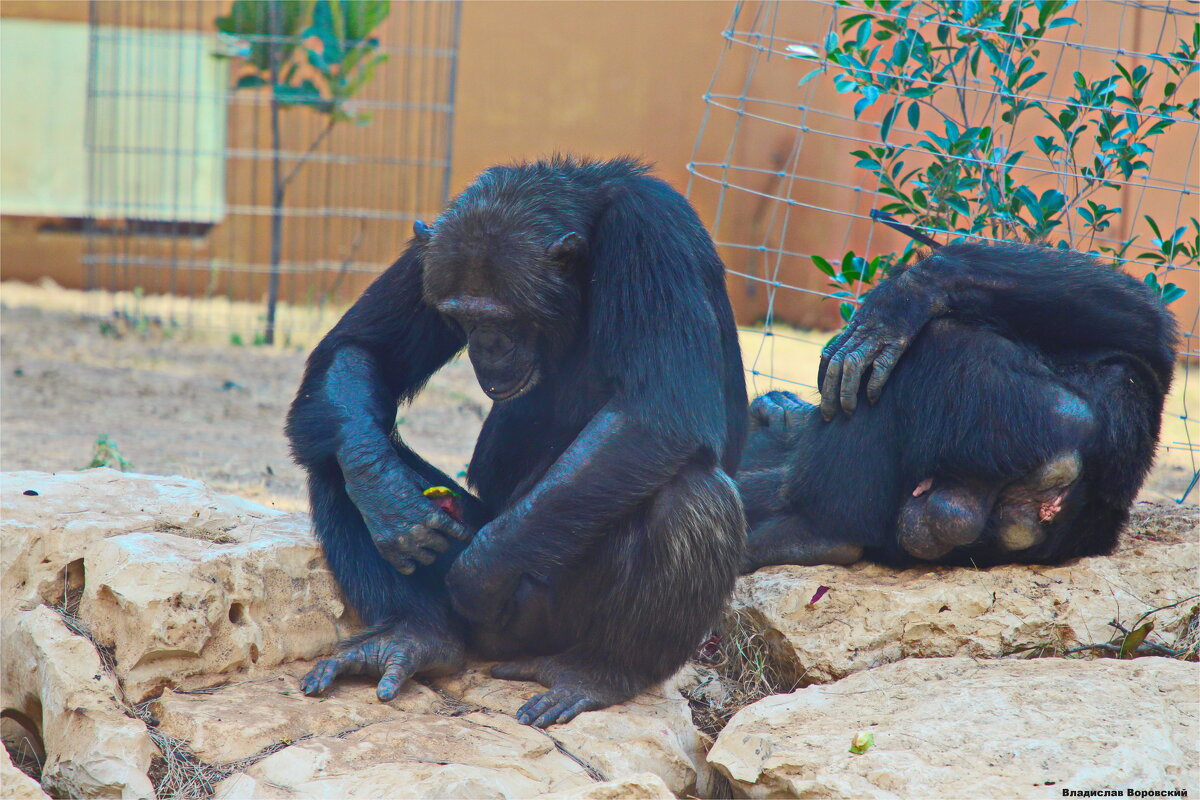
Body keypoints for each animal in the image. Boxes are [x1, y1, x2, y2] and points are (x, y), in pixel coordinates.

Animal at [734, 241, 1176, 573]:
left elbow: (1142, 320)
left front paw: (904, 300)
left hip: (1009, 406)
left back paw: (818, 529)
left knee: (932, 342)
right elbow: (1143, 325)